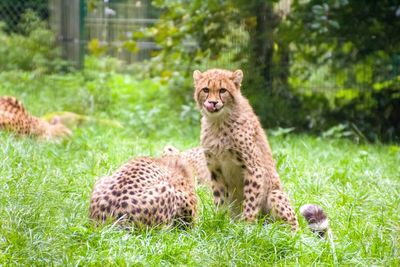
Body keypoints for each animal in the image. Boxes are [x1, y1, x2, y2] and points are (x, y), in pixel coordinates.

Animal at [193, 68, 328, 236]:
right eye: (205, 89)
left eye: (223, 90)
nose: (212, 103)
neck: (218, 122)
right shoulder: (216, 171)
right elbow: (220, 200)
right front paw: (219, 222)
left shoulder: (254, 169)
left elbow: (250, 202)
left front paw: (246, 228)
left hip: (275, 195)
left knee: (291, 229)